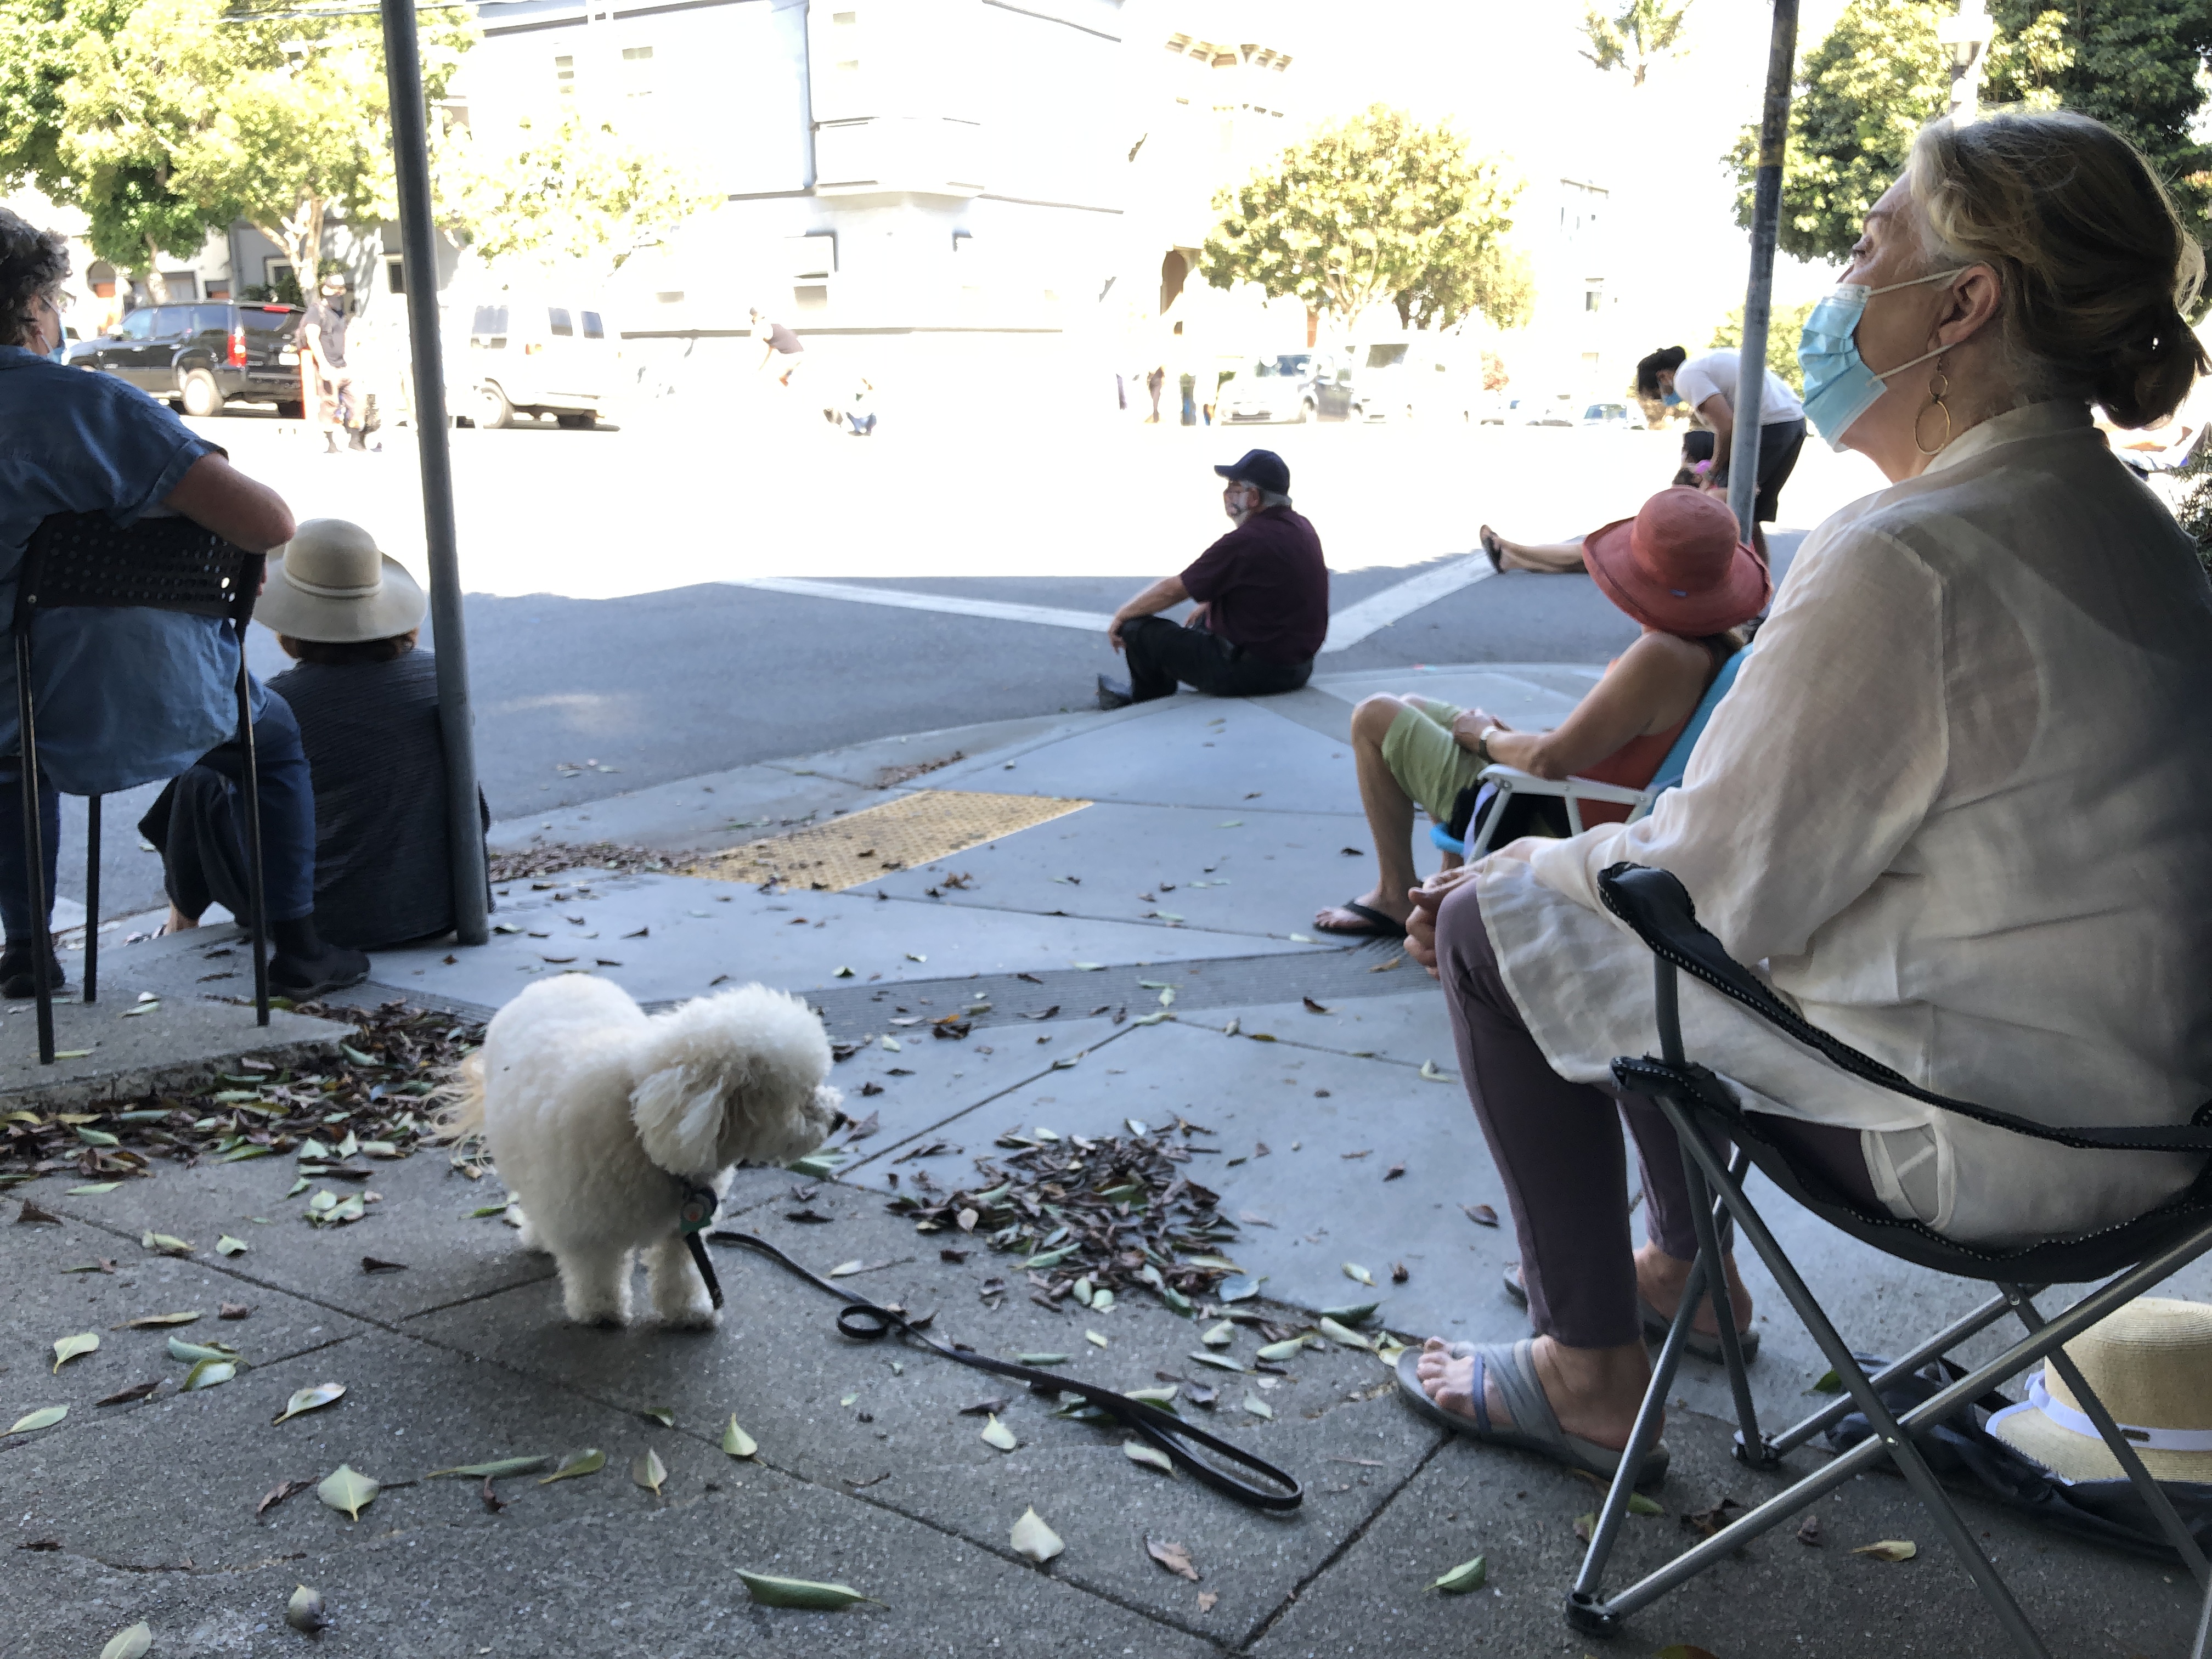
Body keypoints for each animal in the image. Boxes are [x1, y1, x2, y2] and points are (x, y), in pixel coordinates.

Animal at [441, 975, 842, 1329]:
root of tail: (559, 979)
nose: (840, 1119)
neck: (642, 1123)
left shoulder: (684, 1225)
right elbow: (595, 1269)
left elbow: (680, 1266)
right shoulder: (586, 1224)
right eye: (798, 1096)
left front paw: (688, 1310)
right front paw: (600, 1311)